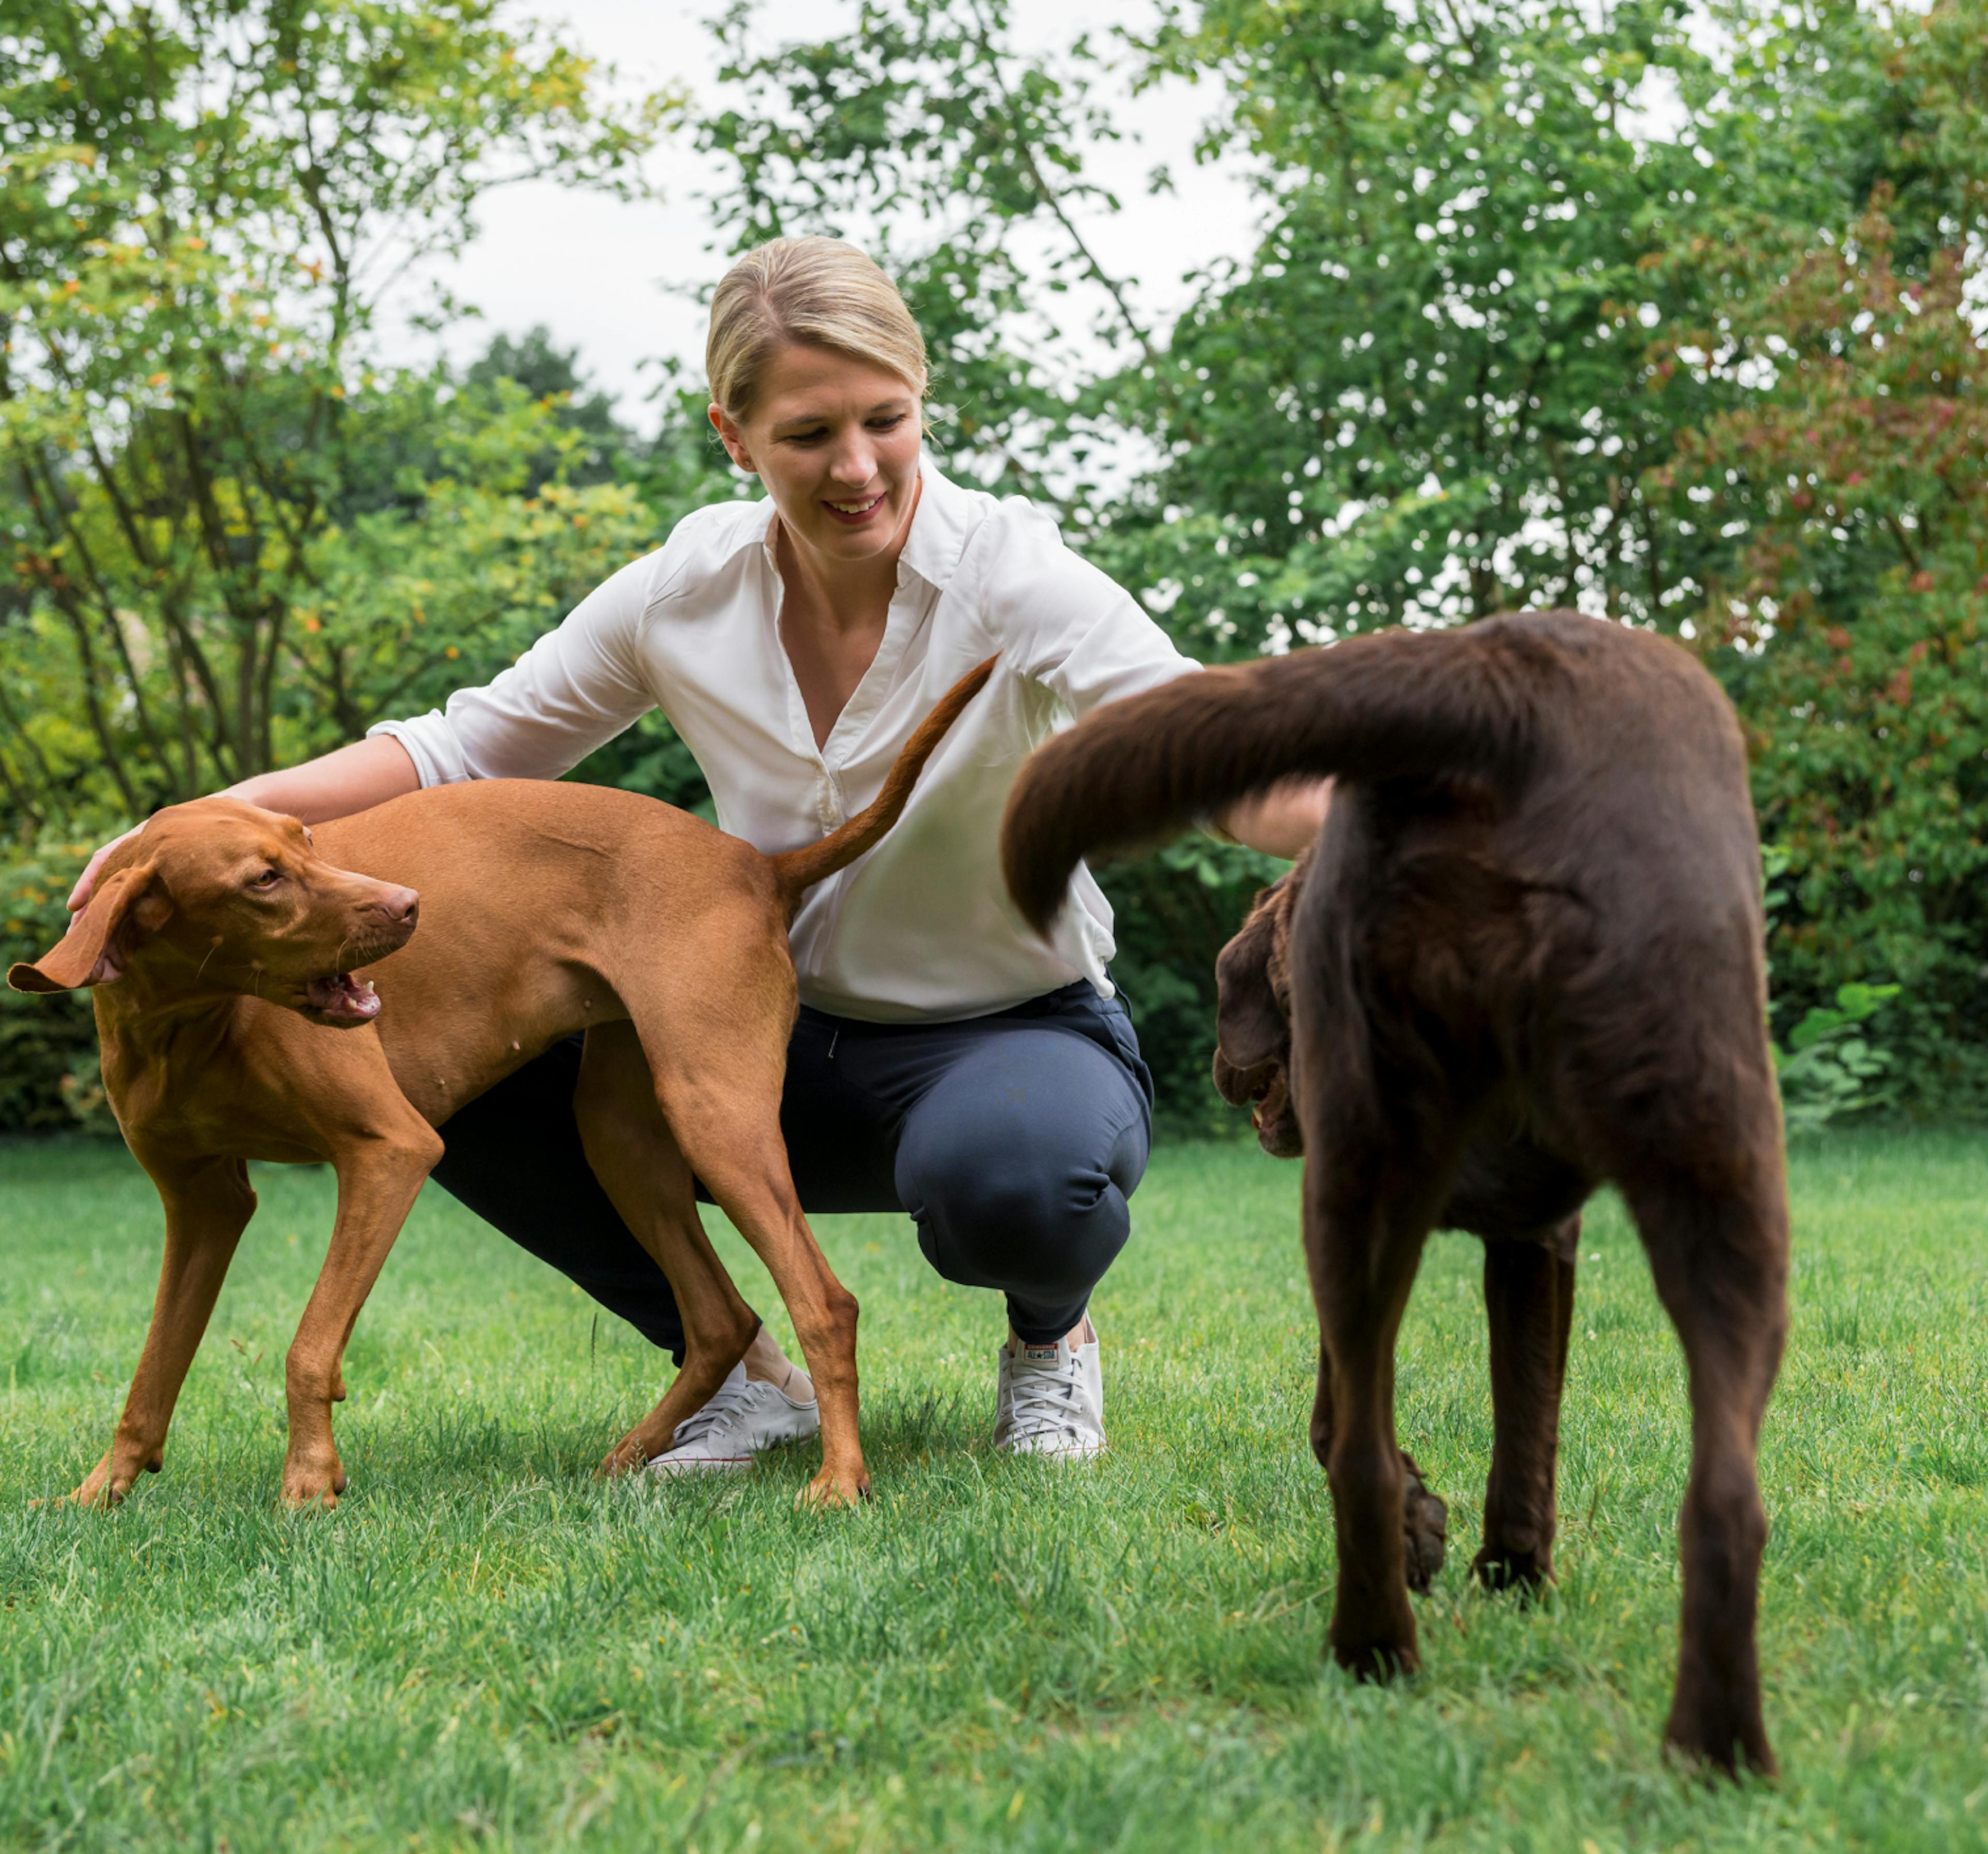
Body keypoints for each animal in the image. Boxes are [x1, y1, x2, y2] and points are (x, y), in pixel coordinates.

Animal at [16, 664, 994, 1518]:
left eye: (305, 839)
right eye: (263, 878)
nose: (409, 906)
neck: (189, 1024)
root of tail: (755, 862)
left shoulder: (390, 1151)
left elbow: (309, 1345)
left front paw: (309, 1485)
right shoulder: (202, 1203)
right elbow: (153, 1370)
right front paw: (99, 1493)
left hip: (717, 1115)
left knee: (824, 1303)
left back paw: (841, 1480)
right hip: (624, 1140)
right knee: (722, 1315)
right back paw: (631, 1457)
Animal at [1002, 616, 1797, 1772]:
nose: (1227, 1073)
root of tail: (1503, 686)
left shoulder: (1501, 1234)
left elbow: (1358, 1416)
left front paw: (1459, 1549)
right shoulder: (1533, 1238)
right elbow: (1522, 1429)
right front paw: (1506, 1572)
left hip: (1369, 1182)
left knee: (1364, 1457)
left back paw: (1381, 1654)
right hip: (1717, 1159)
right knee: (1726, 1488)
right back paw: (1711, 1750)